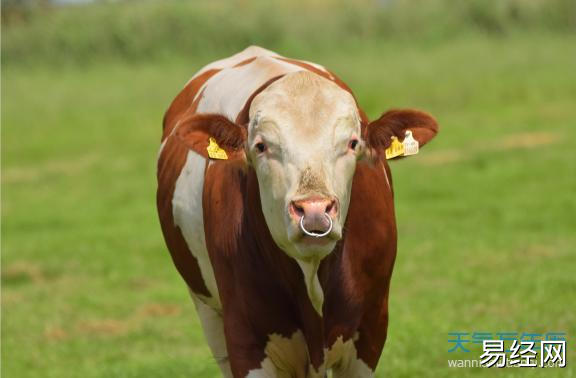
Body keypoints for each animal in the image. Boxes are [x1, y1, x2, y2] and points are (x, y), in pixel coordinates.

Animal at [155, 45, 438, 376]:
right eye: (261, 146)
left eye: (352, 143)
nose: (314, 209)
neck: (312, 275)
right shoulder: (244, 340)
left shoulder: (370, 330)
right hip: (207, 310)